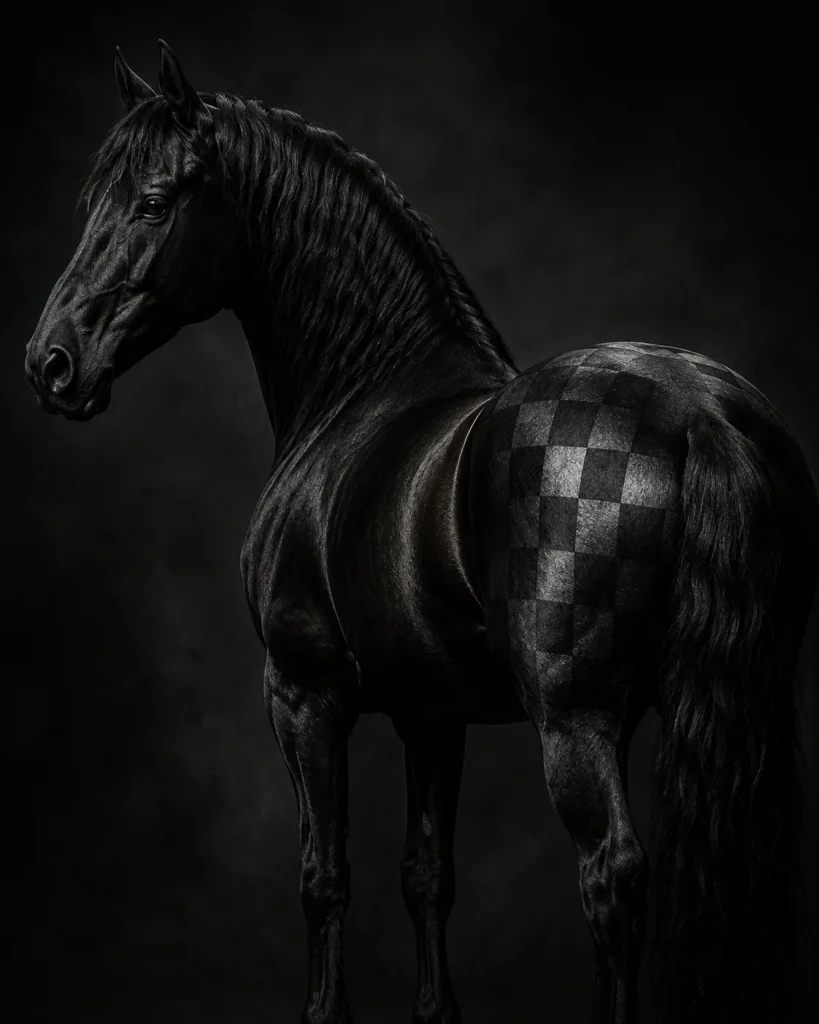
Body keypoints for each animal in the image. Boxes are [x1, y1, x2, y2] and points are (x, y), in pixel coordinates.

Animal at [25, 41, 818, 1024]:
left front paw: (324, 1011)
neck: (364, 394)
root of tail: (700, 415)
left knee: (612, 879)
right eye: (90, 200)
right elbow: (426, 875)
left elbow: (324, 875)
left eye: (154, 199)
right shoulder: (430, 711)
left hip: (575, 723)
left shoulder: (303, 694)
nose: (51, 364)